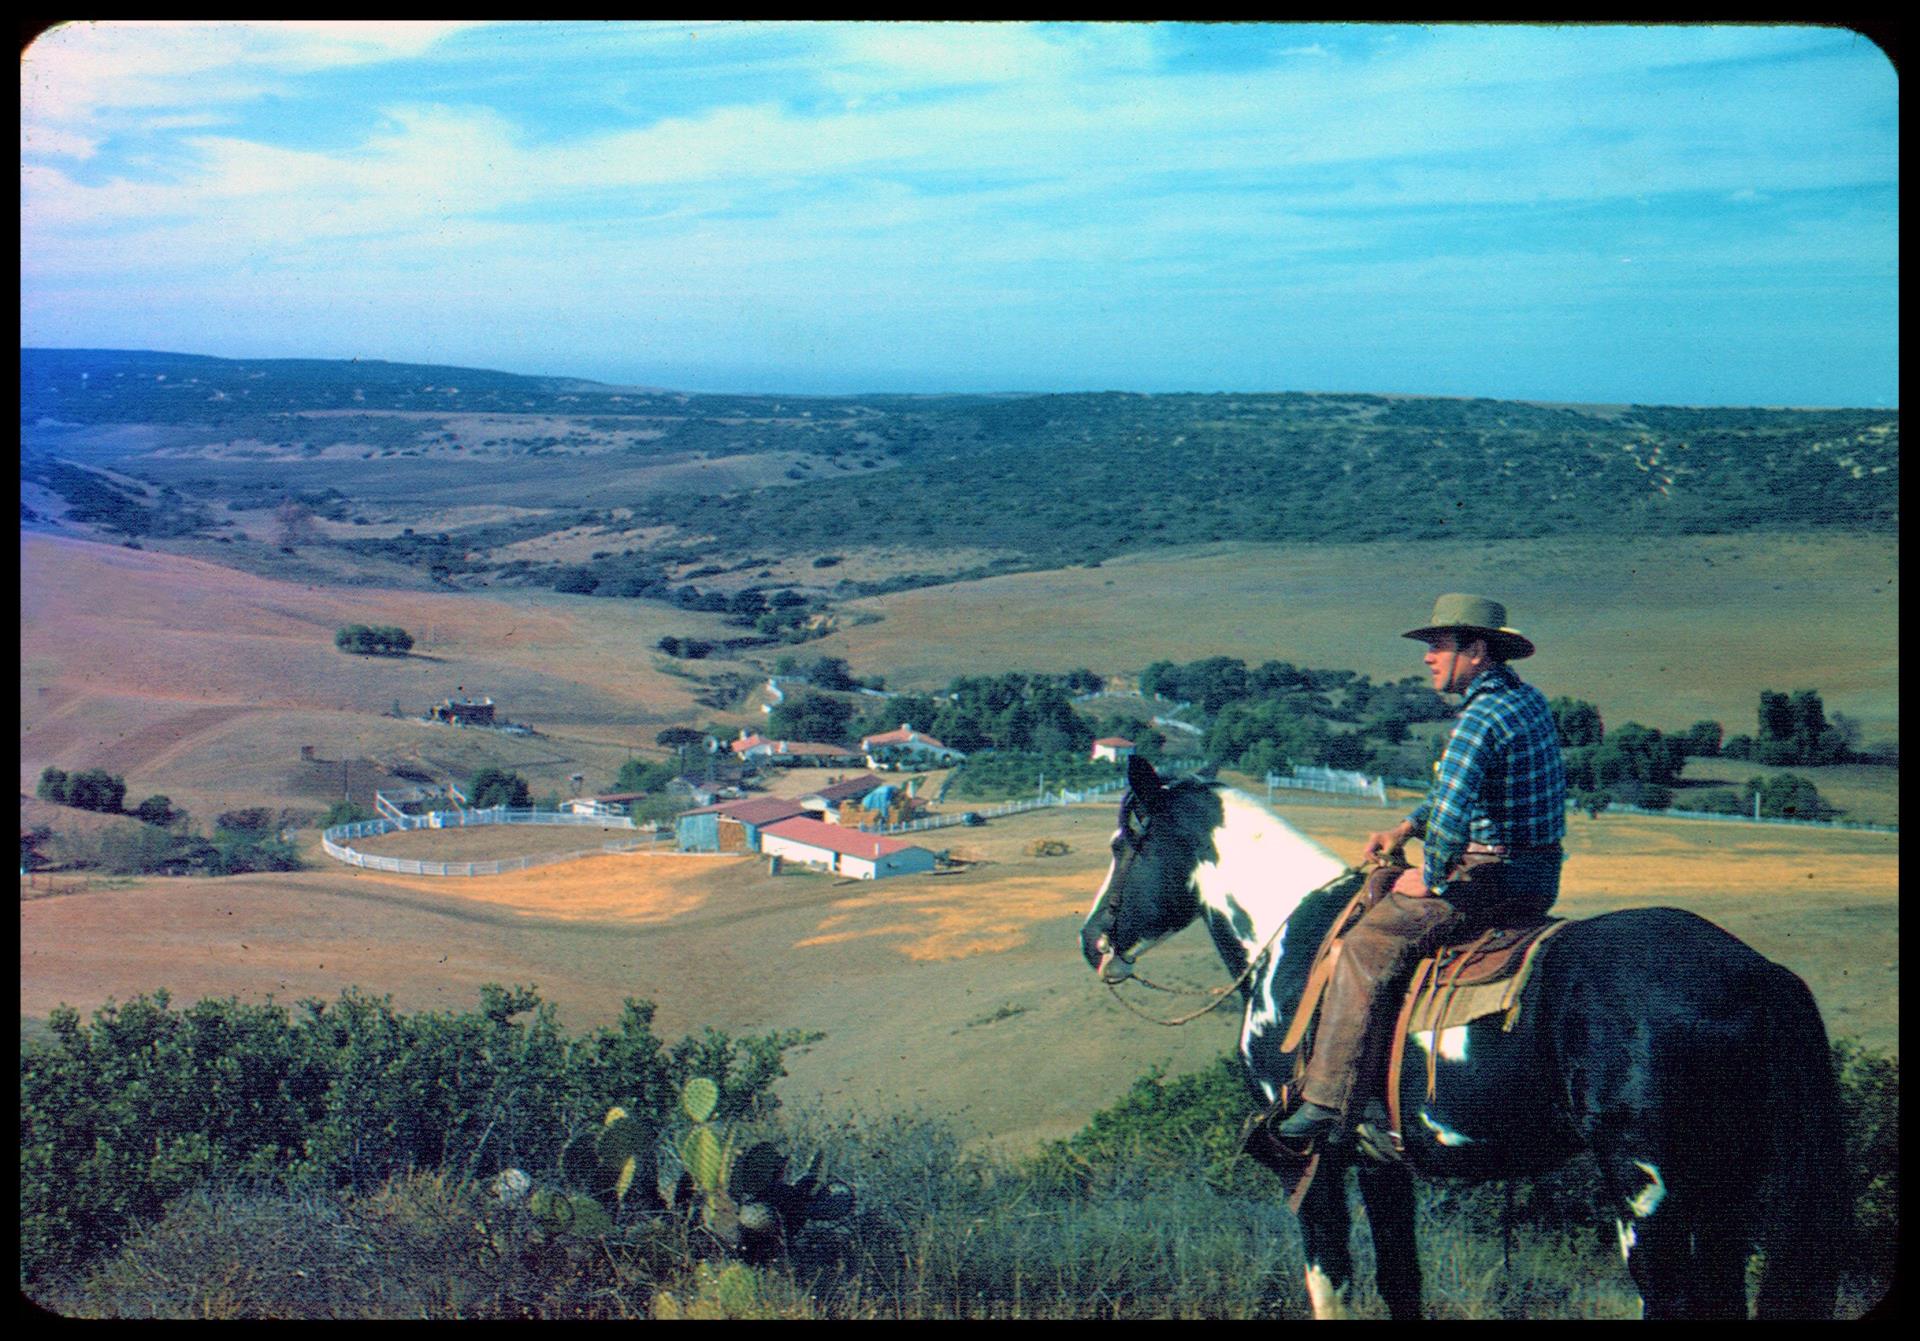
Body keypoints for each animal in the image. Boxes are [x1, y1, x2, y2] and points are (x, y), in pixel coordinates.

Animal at [1082, 753, 1843, 1314]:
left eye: (1124, 843)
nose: (1091, 940)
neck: (1294, 936)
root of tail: (1759, 974)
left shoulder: (1311, 1160)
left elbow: (1331, 1283)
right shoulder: (1380, 1159)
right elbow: (1401, 1281)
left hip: (1646, 1192)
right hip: (1724, 1193)